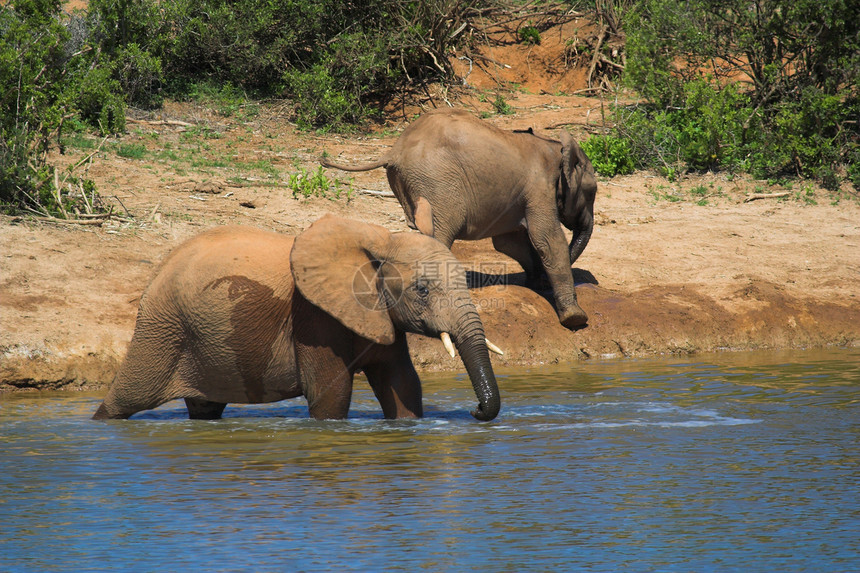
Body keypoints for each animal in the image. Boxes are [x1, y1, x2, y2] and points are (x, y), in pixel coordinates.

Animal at [92, 214, 504, 420]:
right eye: (422, 290)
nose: (476, 410)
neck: (379, 240)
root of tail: (156, 273)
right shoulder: (313, 315)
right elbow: (331, 395)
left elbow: (402, 385)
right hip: (161, 328)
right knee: (124, 399)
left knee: (205, 407)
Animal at [320, 108, 596, 330]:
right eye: (592, 192)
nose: (543, 281)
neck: (556, 147)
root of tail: (394, 151)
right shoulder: (539, 188)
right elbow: (548, 240)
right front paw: (575, 318)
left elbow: (509, 243)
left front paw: (537, 283)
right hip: (438, 180)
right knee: (441, 233)